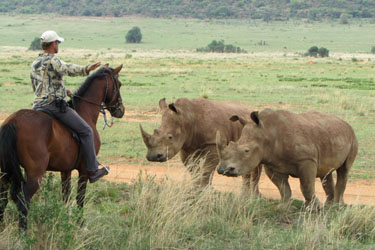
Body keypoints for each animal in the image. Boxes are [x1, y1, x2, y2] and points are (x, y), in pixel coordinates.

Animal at [0, 64, 125, 229]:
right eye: (119, 84)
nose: (121, 110)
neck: (85, 112)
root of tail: (13, 121)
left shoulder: (65, 170)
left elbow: (66, 197)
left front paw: (65, 221)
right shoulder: (84, 171)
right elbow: (80, 198)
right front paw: (80, 224)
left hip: (5, 173)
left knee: (2, 200)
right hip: (35, 175)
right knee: (23, 202)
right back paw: (23, 233)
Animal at [217, 109, 358, 207]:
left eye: (247, 151)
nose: (222, 170)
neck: (267, 133)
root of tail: (345, 123)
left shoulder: (306, 160)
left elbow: (306, 186)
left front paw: (314, 208)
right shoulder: (272, 164)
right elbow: (283, 188)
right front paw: (283, 206)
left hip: (352, 137)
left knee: (344, 169)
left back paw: (337, 206)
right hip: (330, 135)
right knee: (326, 172)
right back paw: (329, 205)